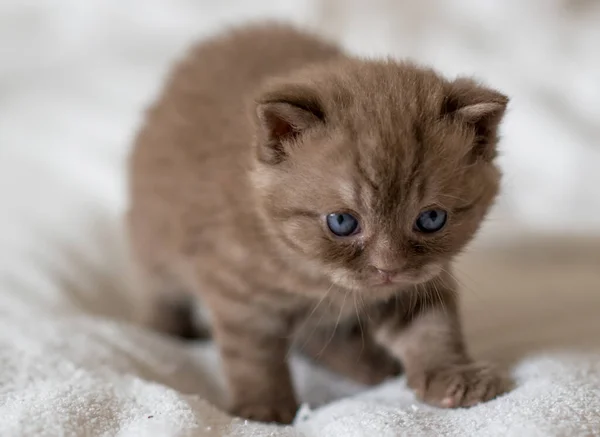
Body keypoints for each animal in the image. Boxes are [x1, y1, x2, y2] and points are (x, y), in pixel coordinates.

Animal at [129, 23, 508, 422]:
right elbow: (252, 355)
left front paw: (454, 376)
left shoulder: (419, 283)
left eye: (431, 218)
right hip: (152, 242)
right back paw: (169, 330)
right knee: (157, 292)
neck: (323, 280)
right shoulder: (238, 291)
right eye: (342, 222)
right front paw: (263, 410)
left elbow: (434, 329)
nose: (388, 268)